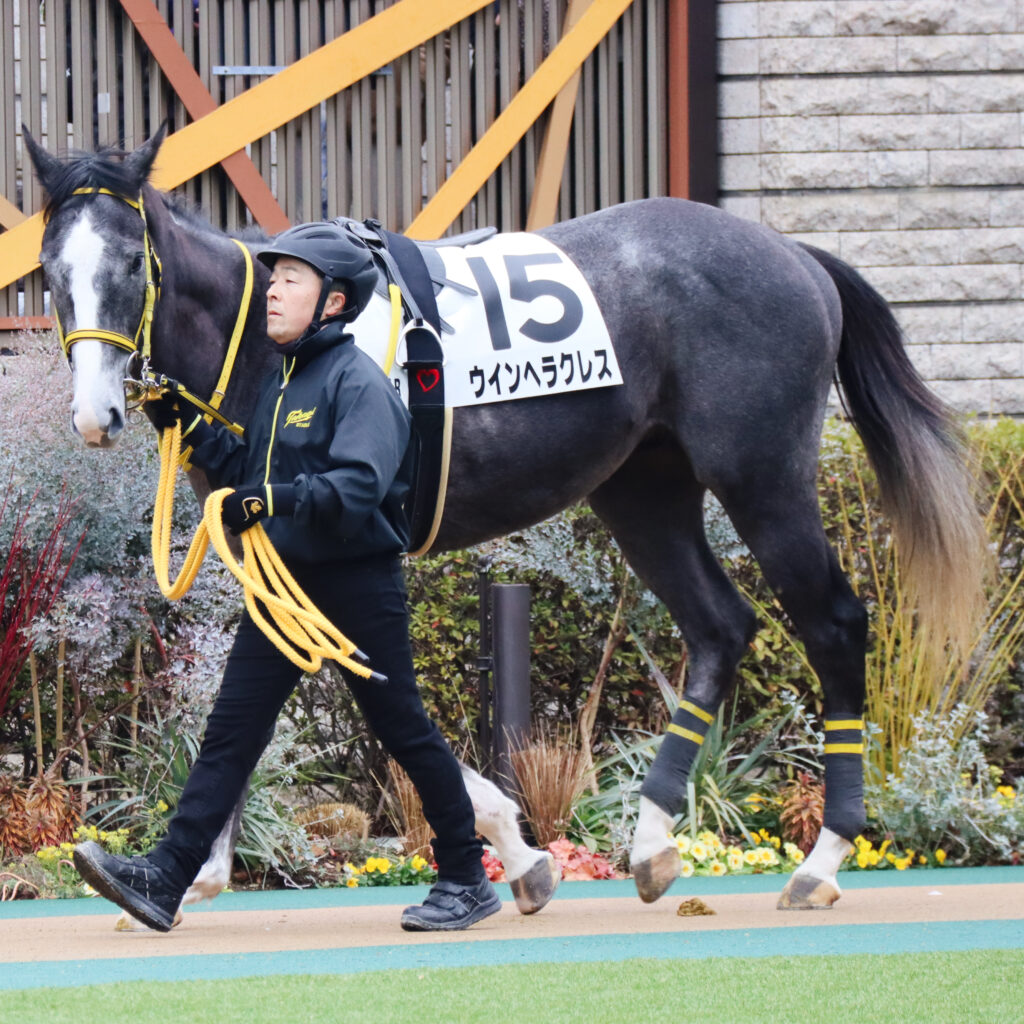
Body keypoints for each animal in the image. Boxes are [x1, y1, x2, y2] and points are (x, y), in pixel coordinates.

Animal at [24, 127, 988, 926]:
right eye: (52, 270)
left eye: (129, 264)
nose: (96, 415)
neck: (272, 343)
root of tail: (793, 253)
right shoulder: (281, 551)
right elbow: (269, 695)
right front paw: (189, 869)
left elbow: (352, 688)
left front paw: (514, 854)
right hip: (642, 489)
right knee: (721, 626)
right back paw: (652, 844)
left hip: (763, 478)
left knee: (833, 625)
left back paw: (821, 862)